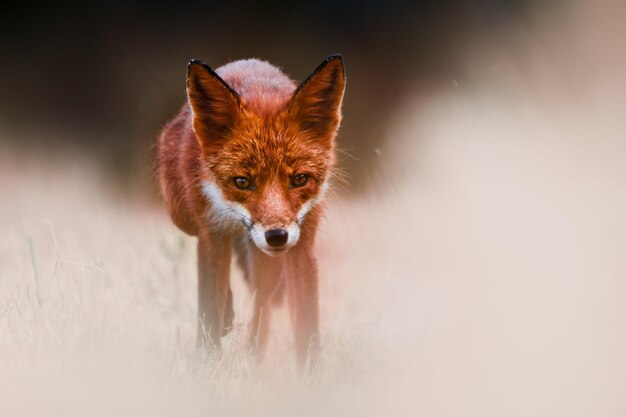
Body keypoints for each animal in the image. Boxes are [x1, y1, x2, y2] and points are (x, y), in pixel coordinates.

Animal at [155, 54, 342, 368]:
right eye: (242, 182)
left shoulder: (301, 243)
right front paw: (207, 363)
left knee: (262, 299)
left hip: (265, 259)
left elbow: (305, 323)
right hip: (183, 216)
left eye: (300, 179)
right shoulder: (212, 232)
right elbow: (208, 306)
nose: (276, 236)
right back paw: (230, 320)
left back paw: (254, 354)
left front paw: (311, 373)